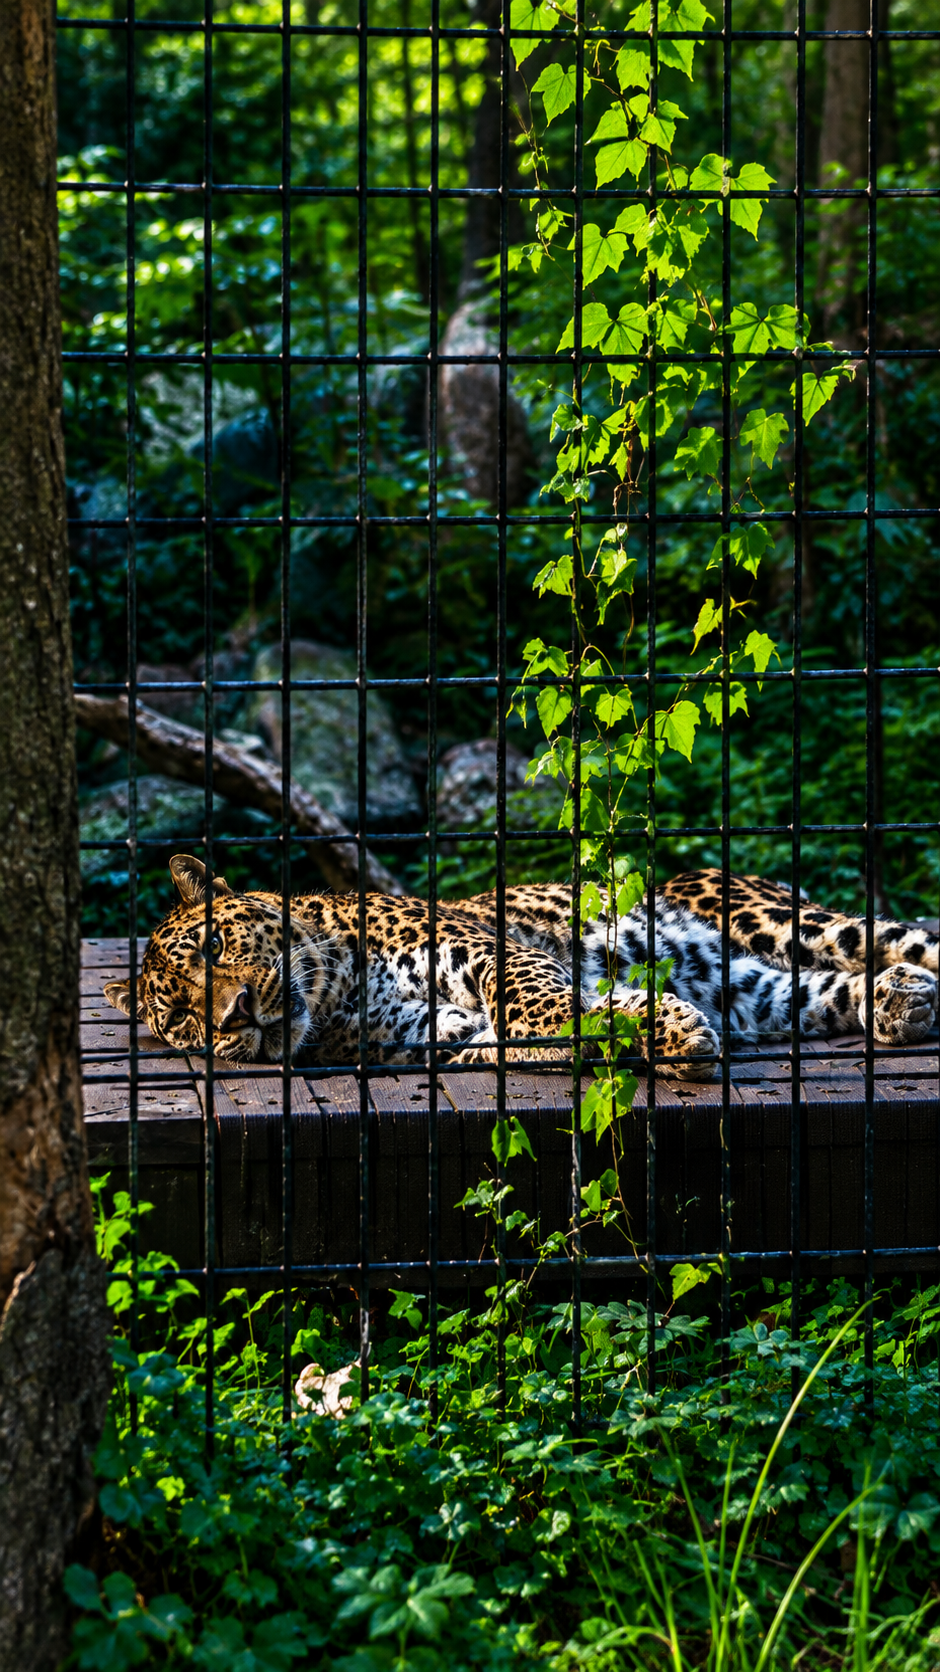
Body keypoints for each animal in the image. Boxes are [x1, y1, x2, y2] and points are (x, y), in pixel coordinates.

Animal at [103, 854, 938, 1082]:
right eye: (179, 1017)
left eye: (213, 949)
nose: (235, 1014)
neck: (336, 992)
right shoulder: (442, 1037)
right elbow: (544, 1034)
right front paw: (668, 1034)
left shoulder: (484, 946)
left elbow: (537, 1001)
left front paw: (660, 1024)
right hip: (749, 982)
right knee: (819, 992)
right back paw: (902, 1003)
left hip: (782, 922)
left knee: (902, 937)